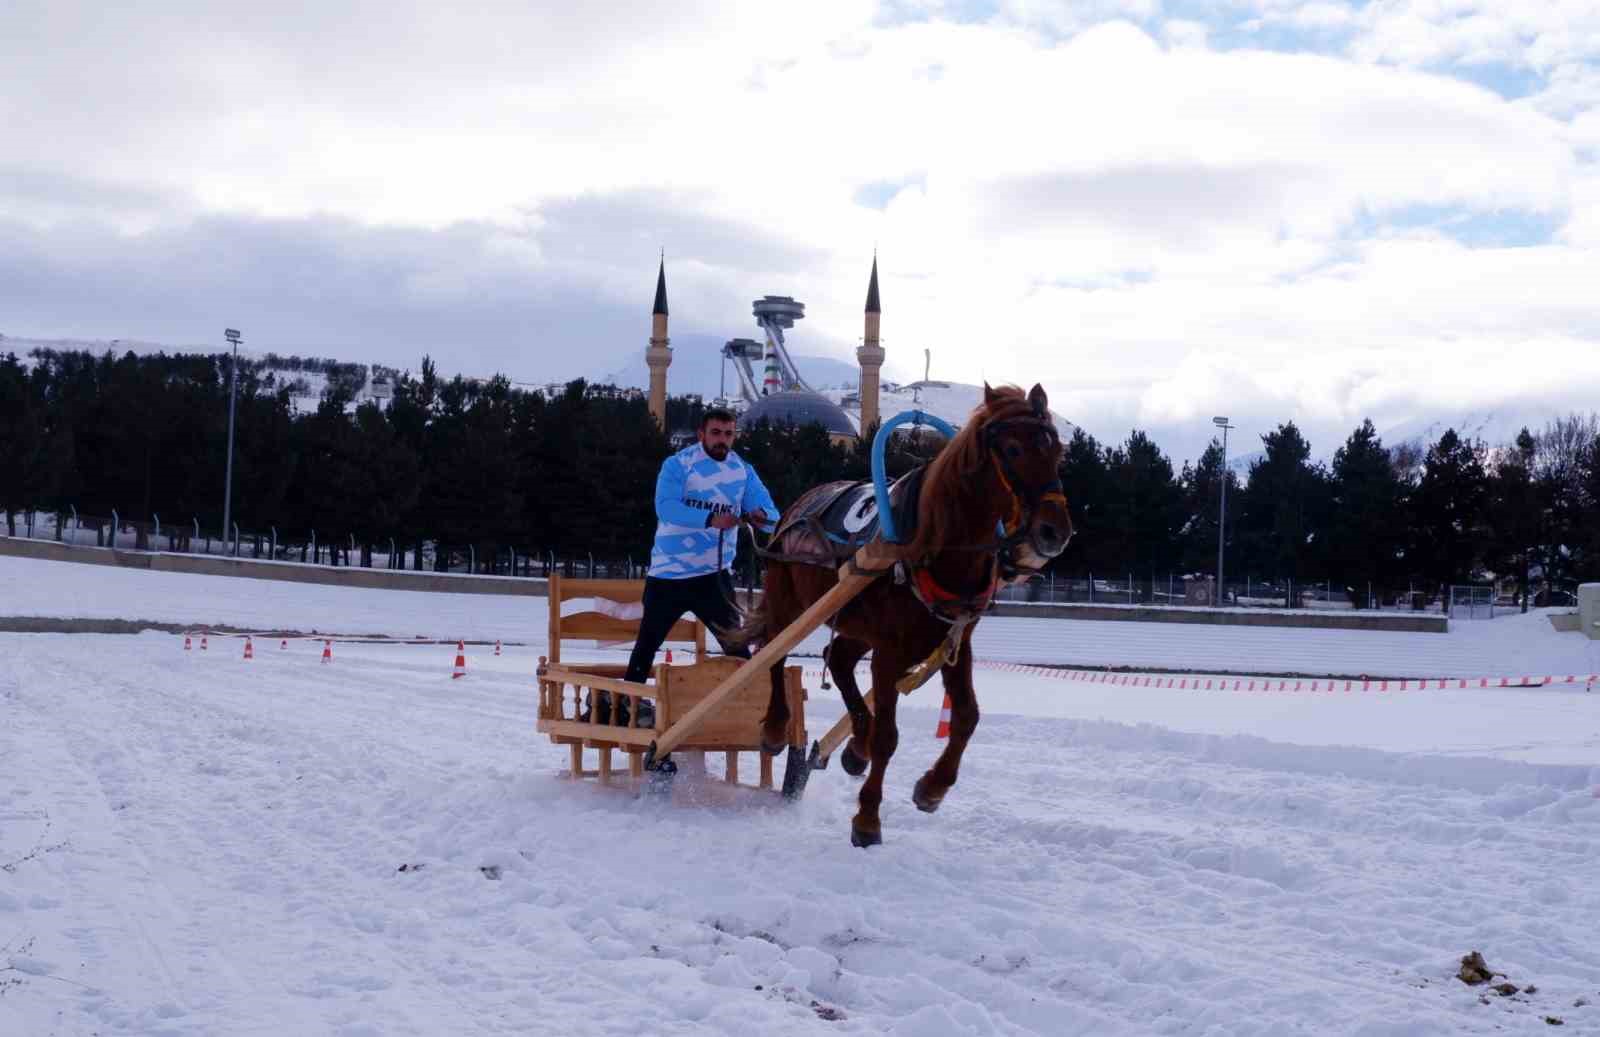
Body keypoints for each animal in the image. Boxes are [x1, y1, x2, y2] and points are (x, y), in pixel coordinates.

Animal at [732, 384, 1068, 844]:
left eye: (1058, 452)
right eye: (1013, 449)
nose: (1055, 532)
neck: (934, 545)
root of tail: (795, 508)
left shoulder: (954, 641)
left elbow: (967, 717)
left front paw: (932, 786)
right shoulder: (890, 651)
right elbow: (888, 737)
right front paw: (868, 817)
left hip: (858, 626)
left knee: (838, 659)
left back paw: (855, 746)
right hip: (790, 598)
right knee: (774, 652)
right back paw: (776, 728)